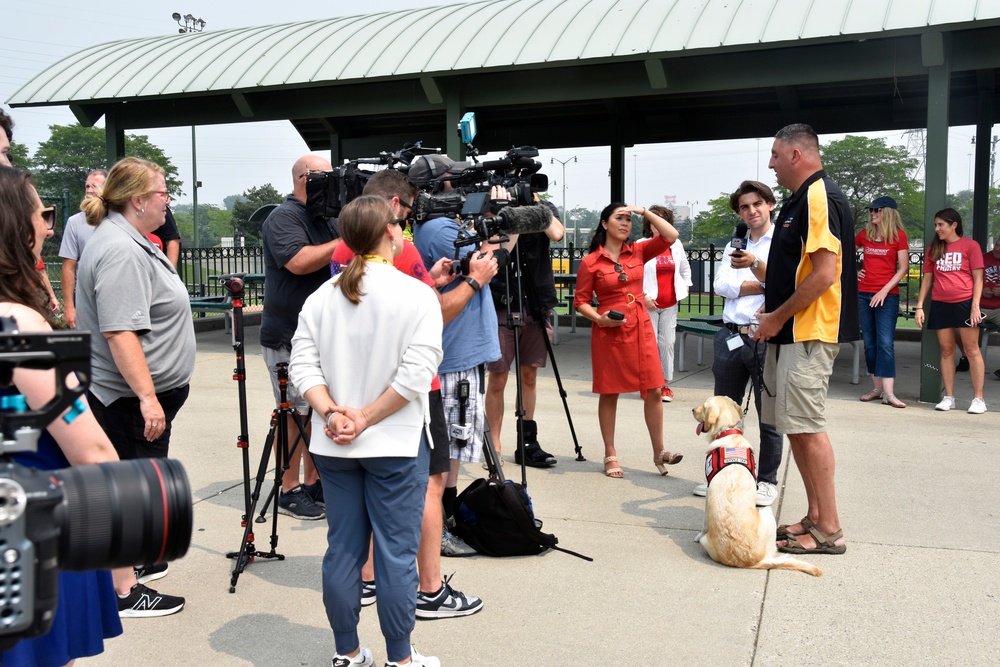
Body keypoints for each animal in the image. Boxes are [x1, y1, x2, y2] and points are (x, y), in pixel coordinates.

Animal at [692, 396, 824, 580]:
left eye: (703, 407)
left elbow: (704, 524)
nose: (692, 410)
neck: (728, 432)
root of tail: (751, 562)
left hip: (765, 510)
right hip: (766, 511)